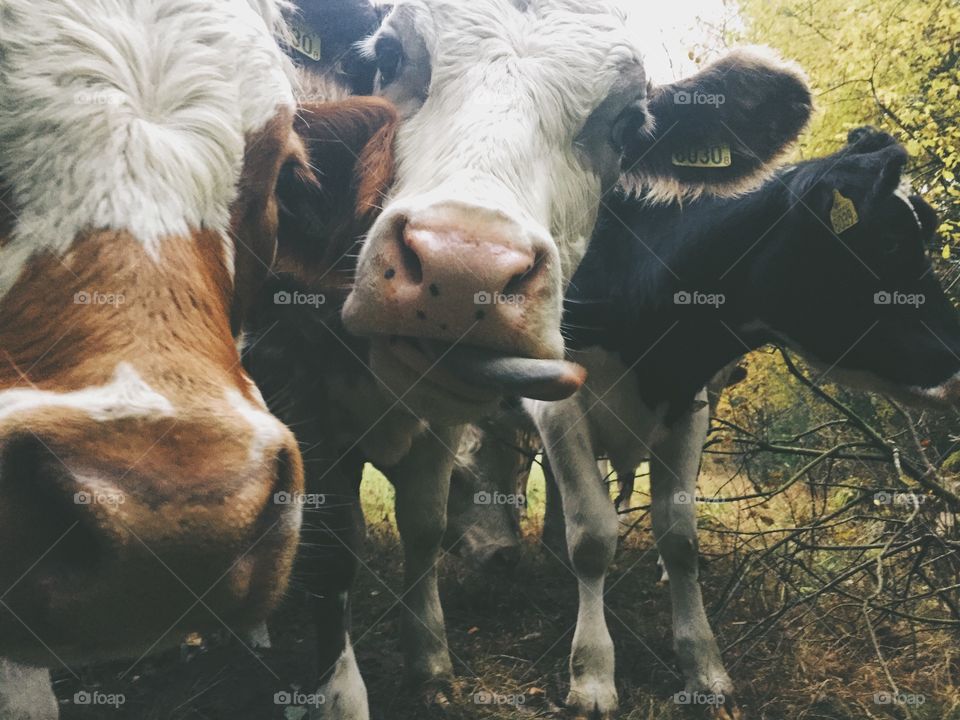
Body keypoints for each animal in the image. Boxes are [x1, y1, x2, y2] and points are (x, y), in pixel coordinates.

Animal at [249, 1, 815, 715]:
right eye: (386, 55)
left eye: (628, 123)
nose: (462, 270)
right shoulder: (295, 382)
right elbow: (333, 546)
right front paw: (341, 694)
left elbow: (425, 525)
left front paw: (430, 662)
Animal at [523, 127, 960, 717]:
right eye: (891, 241)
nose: (958, 363)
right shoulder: (557, 404)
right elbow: (592, 537)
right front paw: (592, 676)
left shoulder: (689, 405)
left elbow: (679, 538)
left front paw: (704, 668)